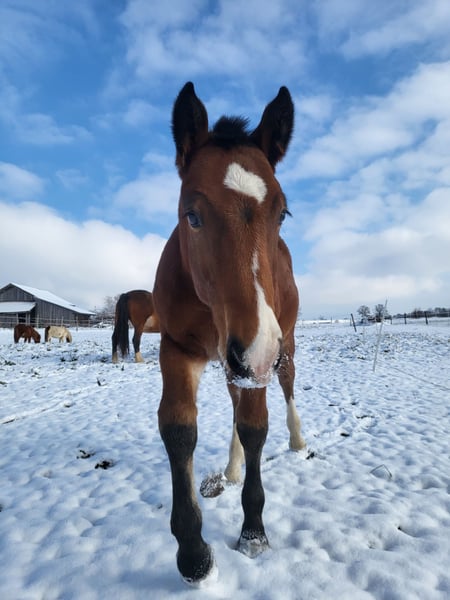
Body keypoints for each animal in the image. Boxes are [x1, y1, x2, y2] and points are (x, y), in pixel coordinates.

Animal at [152, 82, 305, 584]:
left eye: (282, 213)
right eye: (191, 215)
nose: (255, 350)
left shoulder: (260, 353)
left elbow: (256, 426)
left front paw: (253, 532)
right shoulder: (177, 350)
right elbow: (179, 429)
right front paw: (193, 552)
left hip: (281, 346)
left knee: (286, 389)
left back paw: (297, 442)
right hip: (232, 359)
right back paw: (233, 468)